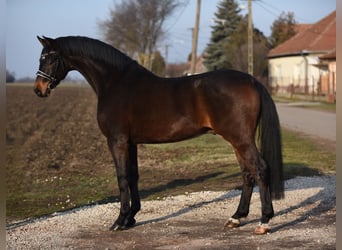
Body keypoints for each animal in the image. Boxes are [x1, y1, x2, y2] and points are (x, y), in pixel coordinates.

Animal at [33, 35, 284, 234]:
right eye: (41, 57)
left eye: (50, 57)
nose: (39, 89)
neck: (115, 83)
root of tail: (251, 80)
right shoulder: (131, 143)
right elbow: (133, 176)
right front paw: (131, 218)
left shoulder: (117, 141)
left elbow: (122, 178)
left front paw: (119, 221)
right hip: (237, 140)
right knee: (247, 174)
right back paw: (236, 217)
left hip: (241, 139)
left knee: (260, 169)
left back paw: (264, 221)